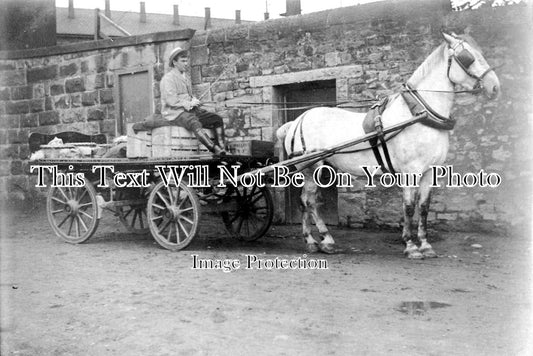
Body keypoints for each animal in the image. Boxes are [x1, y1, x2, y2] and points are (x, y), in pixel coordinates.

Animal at [276, 33, 500, 258]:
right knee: (310, 202)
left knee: (305, 201)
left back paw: (311, 241)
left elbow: (423, 208)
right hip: (312, 168)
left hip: (318, 168)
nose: (495, 87)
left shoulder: (430, 171)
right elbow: (409, 207)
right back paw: (325, 239)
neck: (418, 115)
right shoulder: (411, 171)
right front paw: (411, 246)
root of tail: (297, 120)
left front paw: (425, 245)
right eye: (468, 57)